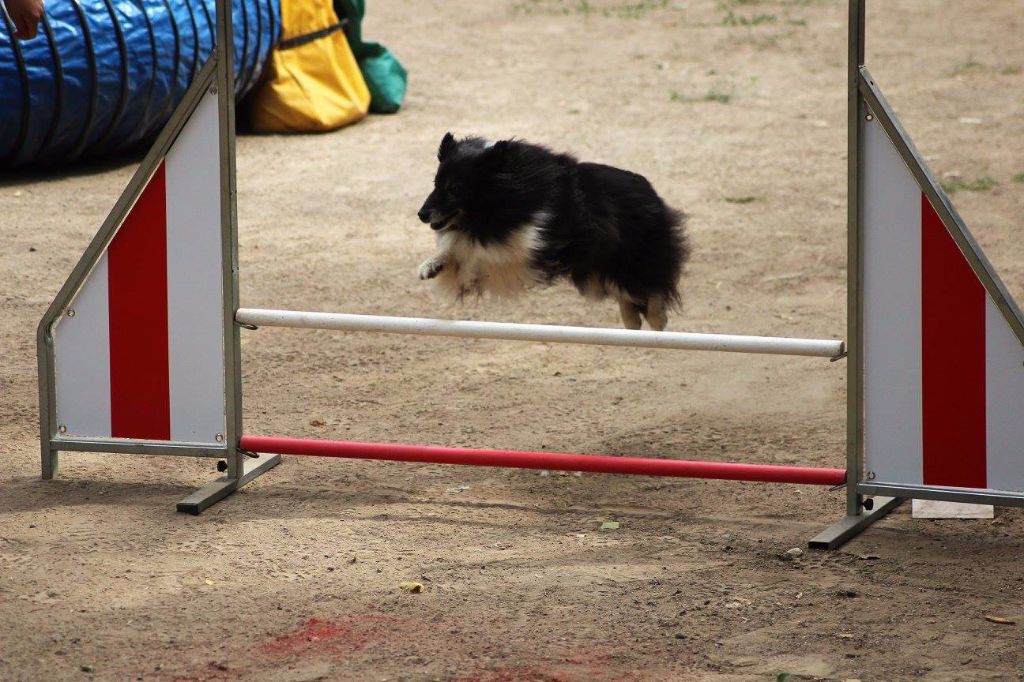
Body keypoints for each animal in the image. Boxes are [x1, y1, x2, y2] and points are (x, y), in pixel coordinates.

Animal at [415, 132, 688, 329]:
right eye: (436, 183)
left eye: (455, 188)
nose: (422, 214)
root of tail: (650, 190)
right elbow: (456, 245)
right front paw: (432, 265)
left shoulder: (527, 245)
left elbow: (473, 251)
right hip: (595, 271)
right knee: (627, 292)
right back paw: (632, 320)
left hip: (630, 258)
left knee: (652, 285)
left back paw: (657, 319)